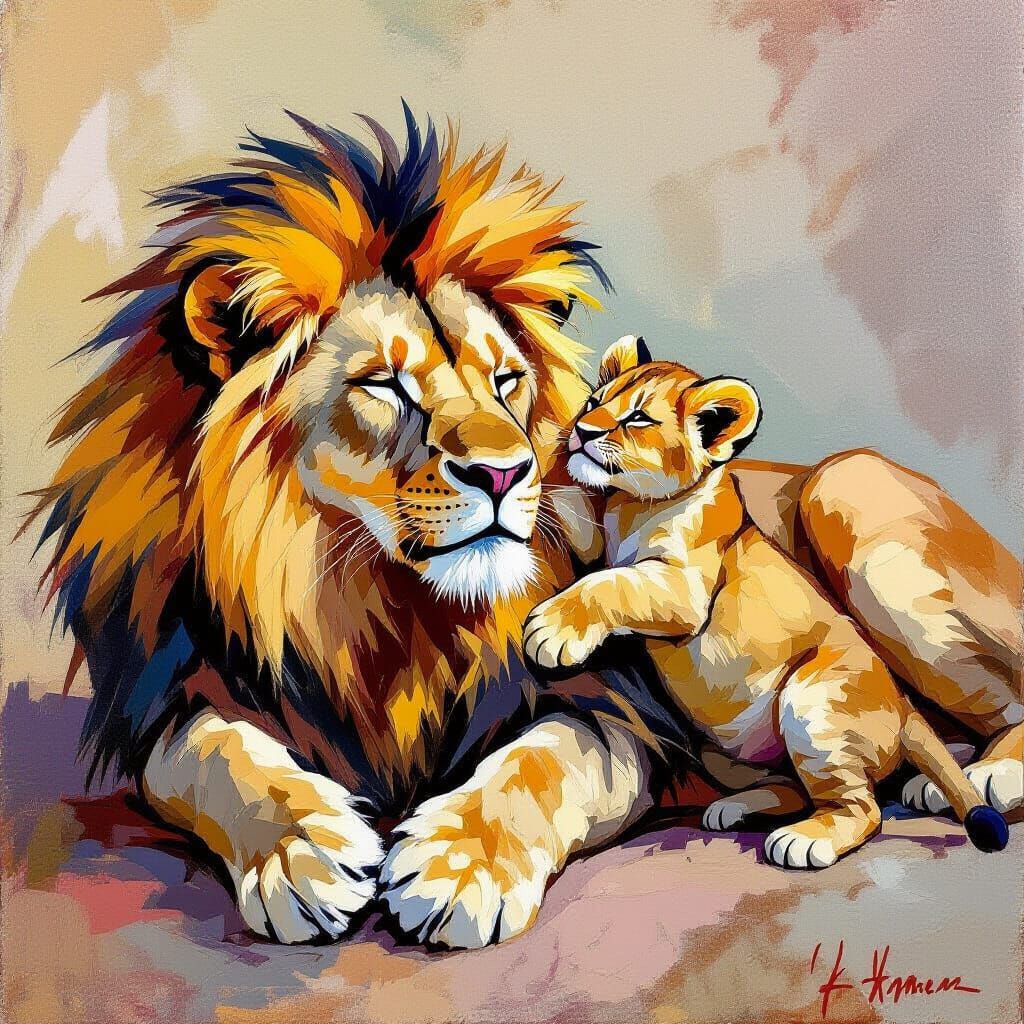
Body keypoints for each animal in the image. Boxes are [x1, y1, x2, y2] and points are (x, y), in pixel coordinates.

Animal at [30, 110, 1022, 949]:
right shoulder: (167, 698)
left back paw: (975, 777)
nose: (511, 474)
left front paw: (457, 866)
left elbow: (539, 764)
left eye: (505, 380)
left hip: (854, 512)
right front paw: (302, 848)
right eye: (384, 385)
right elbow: (218, 756)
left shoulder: (618, 711)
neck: (364, 605)